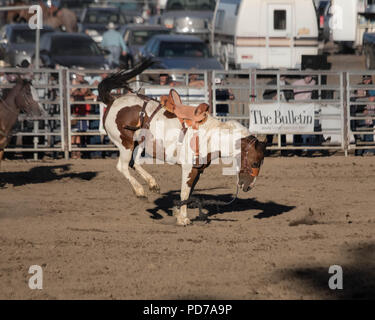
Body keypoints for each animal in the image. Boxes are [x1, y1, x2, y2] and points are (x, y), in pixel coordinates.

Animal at [98, 59, 266, 225]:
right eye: (255, 163)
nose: (249, 186)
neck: (209, 136)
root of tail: (112, 101)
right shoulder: (188, 168)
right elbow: (185, 193)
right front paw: (184, 219)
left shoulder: (198, 170)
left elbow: (188, 193)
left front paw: (178, 213)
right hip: (125, 144)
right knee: (122, 166)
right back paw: (140, 191)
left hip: (139, 144)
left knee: (134, 163)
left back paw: (153, 184)